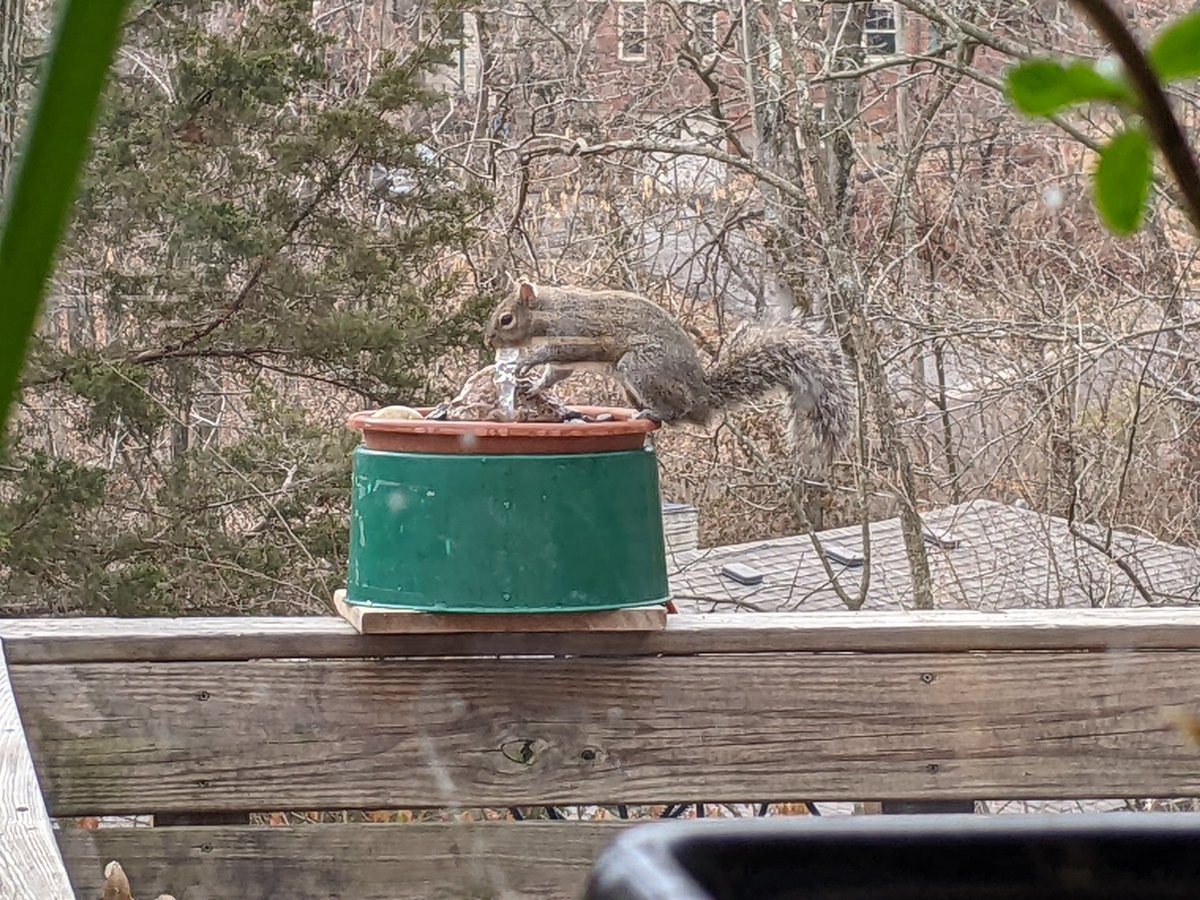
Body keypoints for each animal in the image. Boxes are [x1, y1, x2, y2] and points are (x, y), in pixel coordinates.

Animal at [484, 280, 855, 464]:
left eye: (506, 319)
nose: (489, 339)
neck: (551, 310)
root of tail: (703, 396)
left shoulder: (578, 334)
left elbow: (558, 352)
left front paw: (527, 361)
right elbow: (557, 373)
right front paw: (535, 386)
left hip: (640, 367)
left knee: (676, 411)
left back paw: (652, 413)